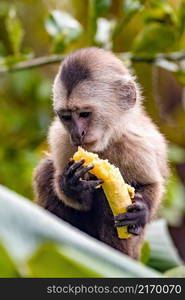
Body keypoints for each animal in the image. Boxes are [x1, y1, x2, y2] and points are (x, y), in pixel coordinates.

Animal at [33, 47, 168, 260]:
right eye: (66, 117)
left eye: (84, 114)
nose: (77, 134)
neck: (105, 141)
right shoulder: (60, 138)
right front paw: (73, 186)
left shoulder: (136, 144)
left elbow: (150, 184)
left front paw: (141, 211)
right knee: (46, 170)